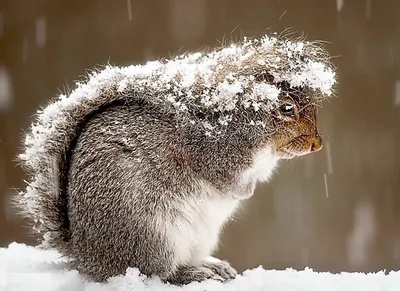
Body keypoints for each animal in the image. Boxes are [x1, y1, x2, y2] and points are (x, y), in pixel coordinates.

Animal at [14, 34, 334, 286]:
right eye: (286, 108)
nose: (317, 145)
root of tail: (87, 257)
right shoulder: (214, 153)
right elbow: (225, 180)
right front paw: (244, 192)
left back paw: (211, 265)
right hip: (153, 235)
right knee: (158, 273)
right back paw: (191, 274)